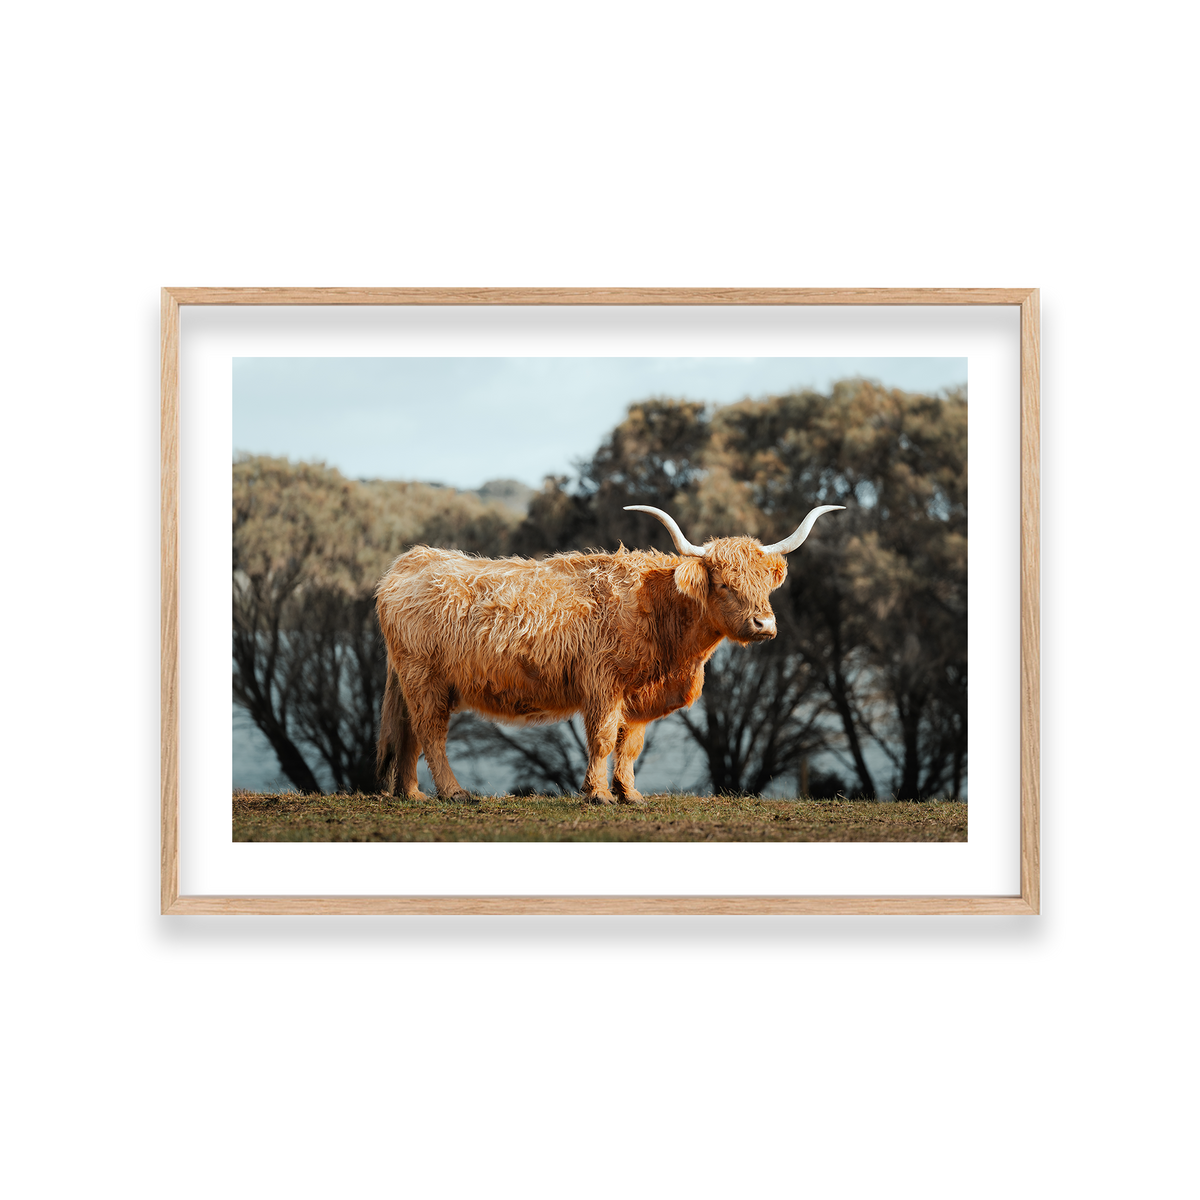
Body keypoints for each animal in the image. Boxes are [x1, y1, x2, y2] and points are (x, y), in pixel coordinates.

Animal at [375, 503, 844, 804]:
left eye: (765, 585)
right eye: (726, 584)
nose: (764, 625)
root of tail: (412, 559)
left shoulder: (637, 695)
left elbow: (630, 744)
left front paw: (630, 794)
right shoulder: (603, 684)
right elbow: (601, 739)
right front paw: (598, 794)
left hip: (414, 682)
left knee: (410, 734)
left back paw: (412, 794)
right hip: (425, 678)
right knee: (431, 733)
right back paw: (453, 793)